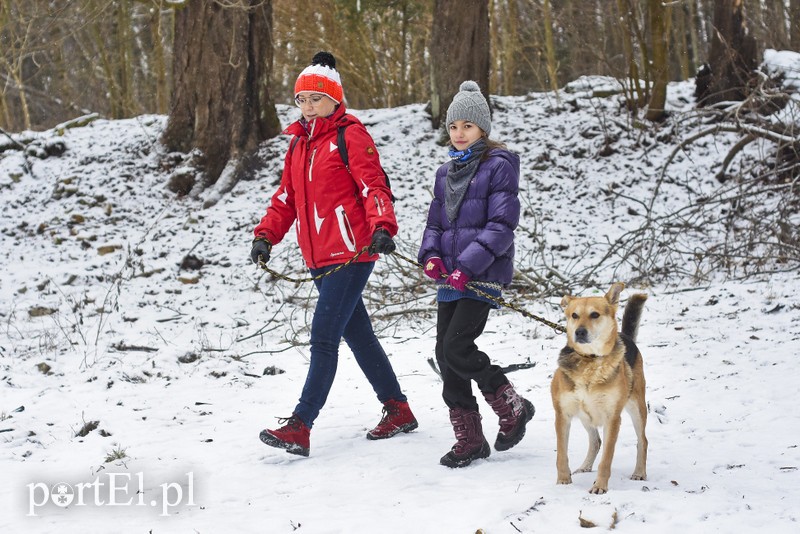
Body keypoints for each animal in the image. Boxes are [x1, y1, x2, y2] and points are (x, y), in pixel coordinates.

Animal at [552, 282, 648, 496]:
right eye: (574, 315)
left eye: (594, 314)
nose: (579, 332)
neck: (590, 360)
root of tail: (625, 336)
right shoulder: (563, 414)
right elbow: (561, 453)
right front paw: (563, 480)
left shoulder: (612, 417)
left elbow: (607, 459)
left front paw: (600, 486)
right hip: (585, 415)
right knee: (596, 441)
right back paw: (584, 467)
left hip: (636, 407)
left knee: (642, 441)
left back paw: (639, 472)